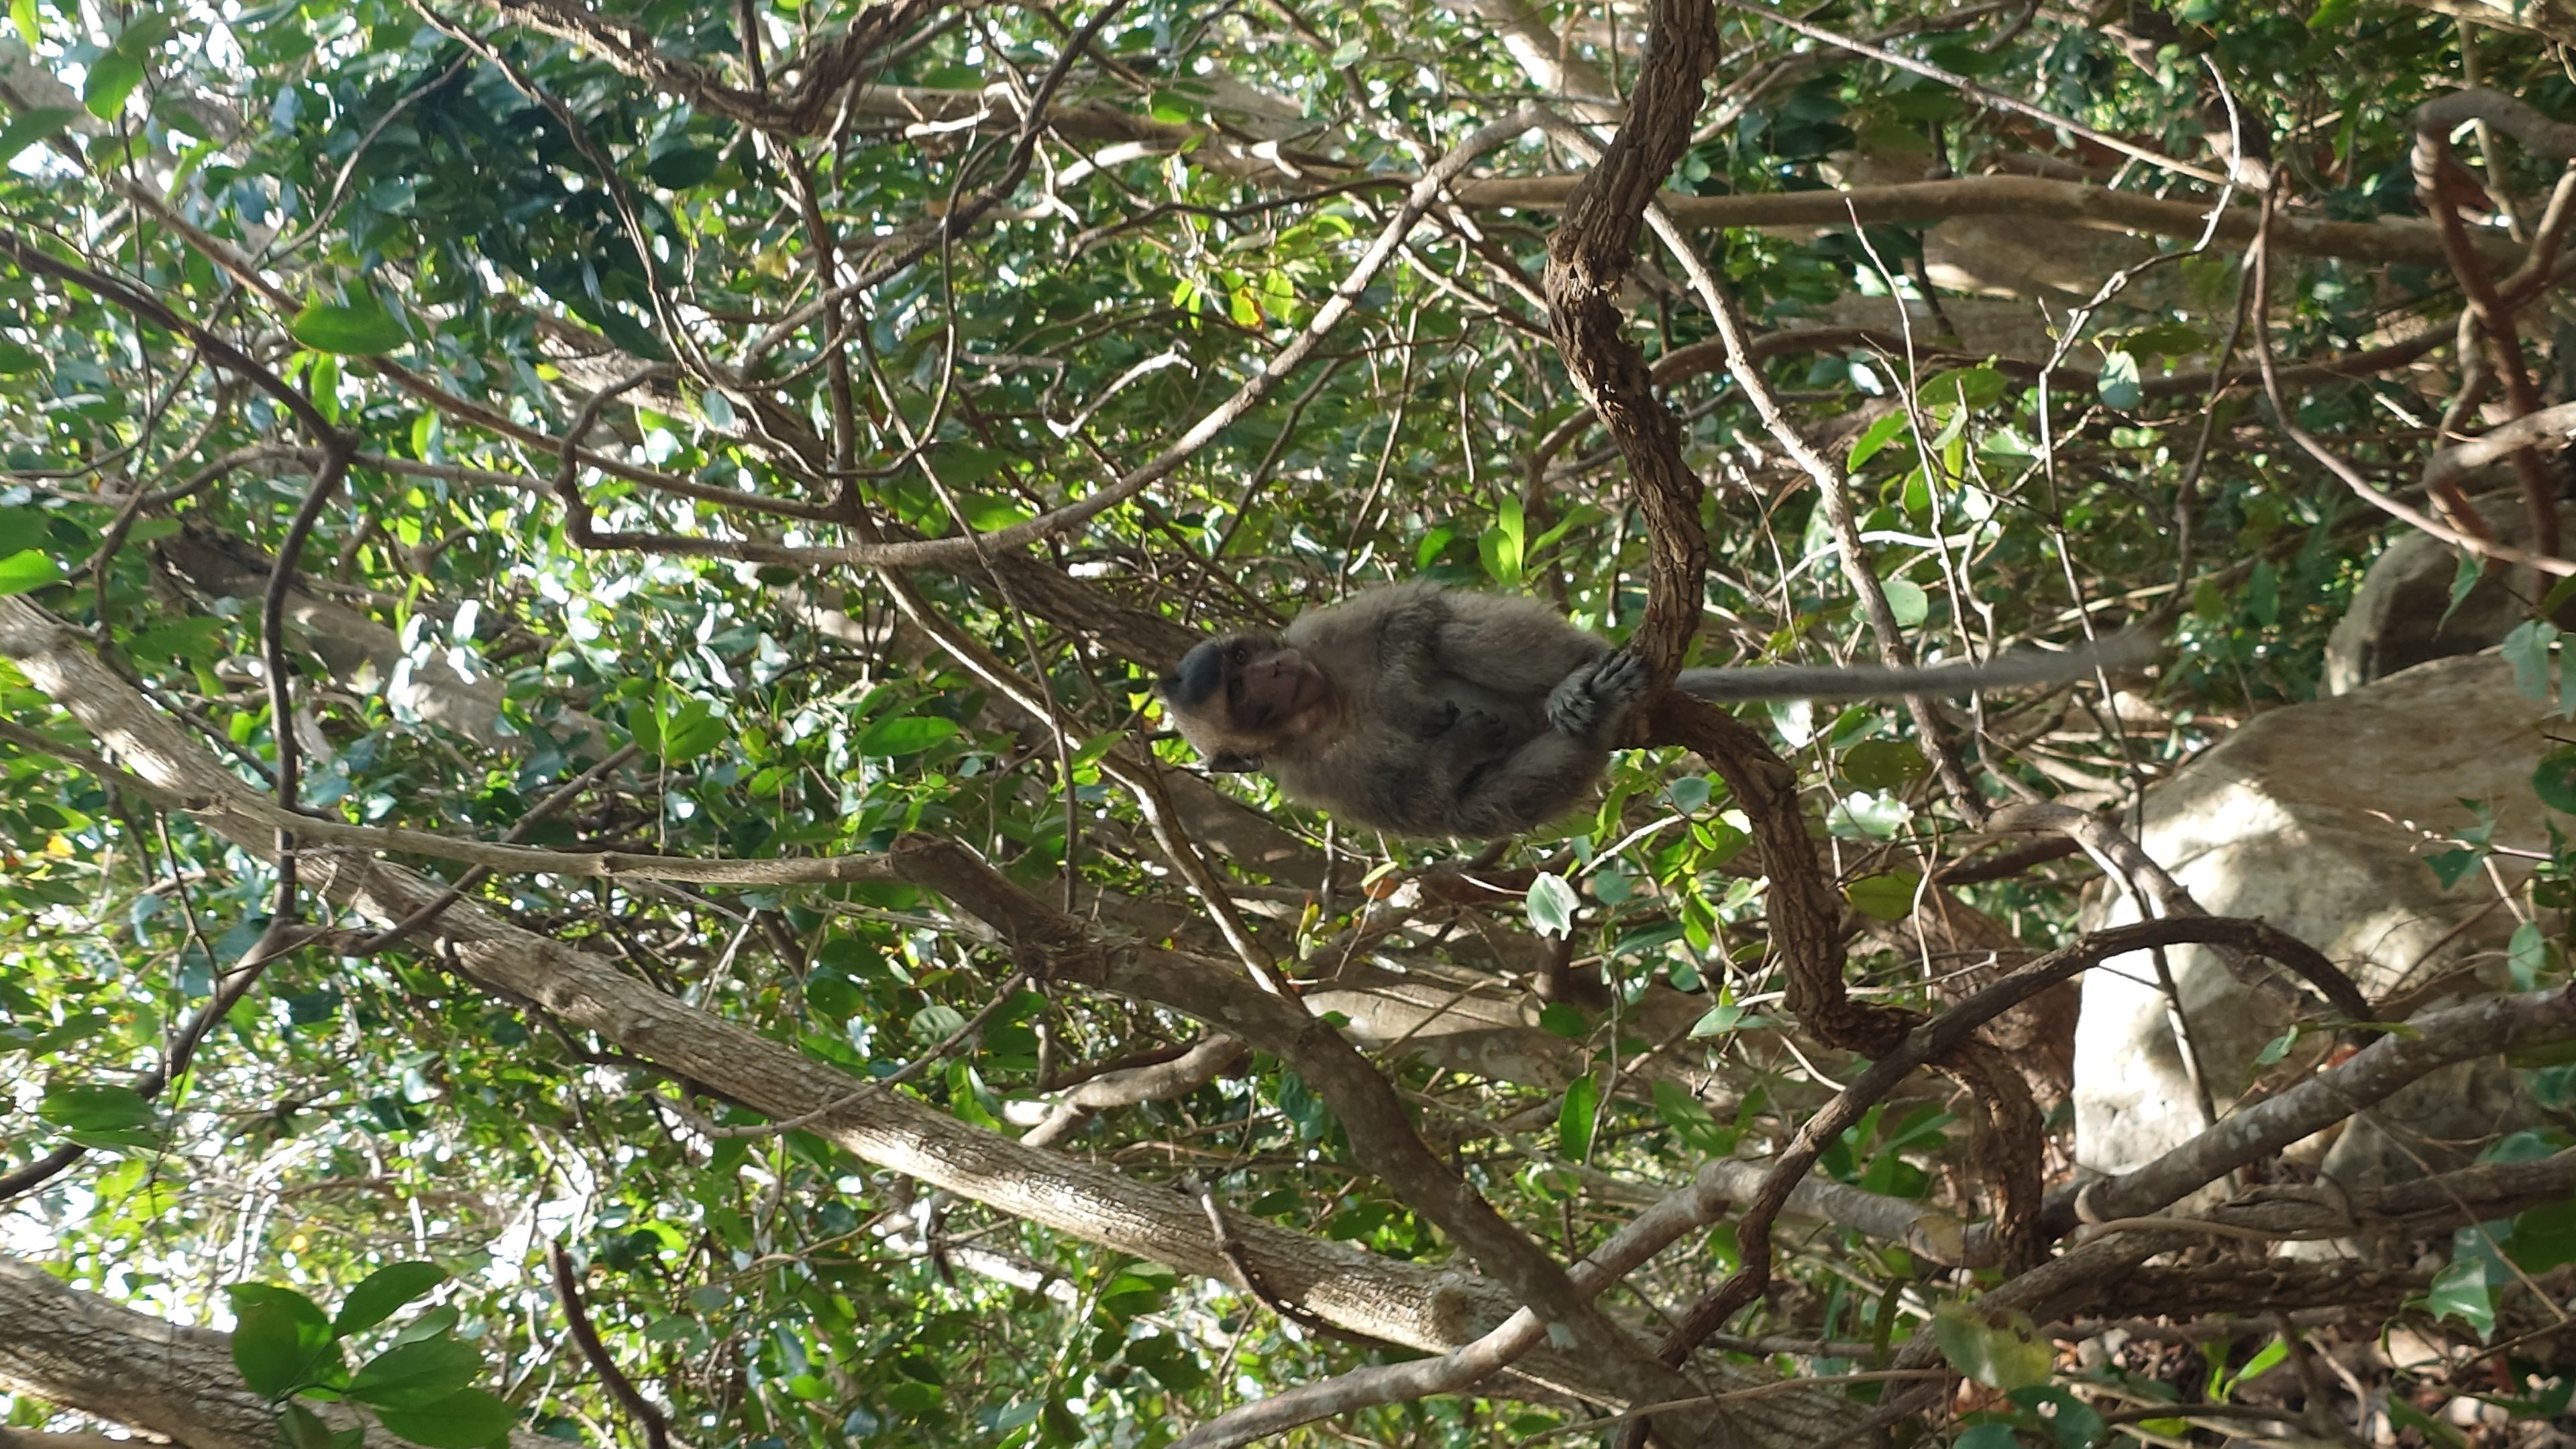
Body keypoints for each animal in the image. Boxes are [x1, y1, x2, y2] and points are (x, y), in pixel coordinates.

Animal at [1156, 582, 2152, 839]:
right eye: (1244, 693)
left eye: (1244, 662)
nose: (1273, 670)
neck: (1320, 710)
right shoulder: (1322, 781)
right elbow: (1443, 808)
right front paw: (1450, 752)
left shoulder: (1325, 632)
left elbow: (1413, 622)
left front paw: (1410, 684)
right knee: (1501, 791)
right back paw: (1591, 719)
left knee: (1464, 636)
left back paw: (1577, 685)